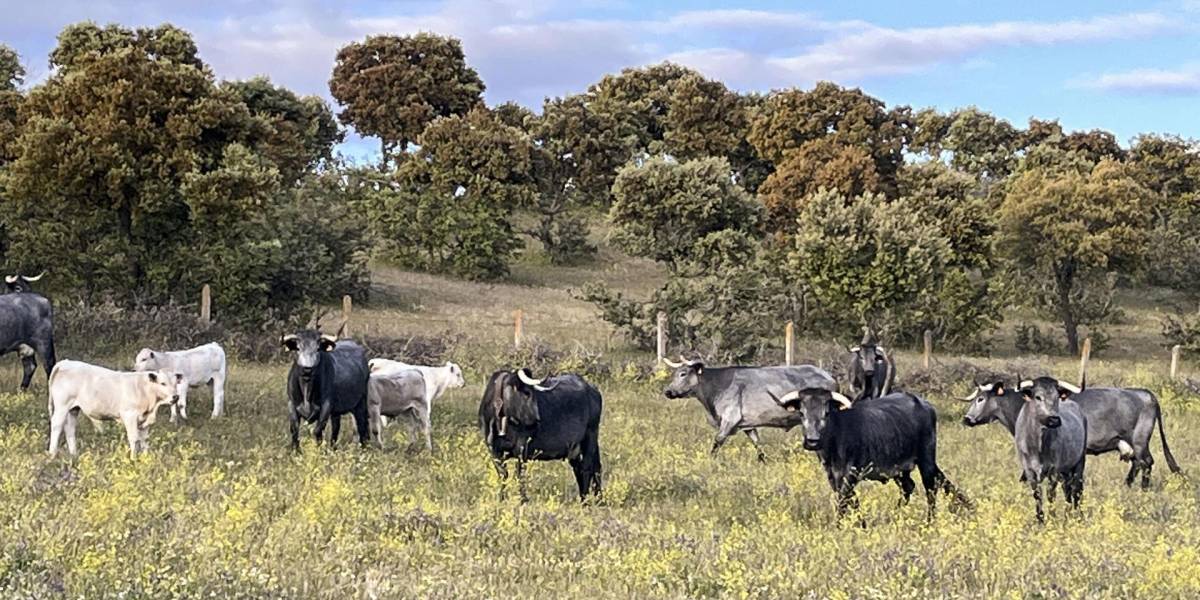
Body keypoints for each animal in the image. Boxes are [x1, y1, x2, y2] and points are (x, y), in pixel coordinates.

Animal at [48, 360, 183, 458]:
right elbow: (134, 439)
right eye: (163, 383)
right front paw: (133, 458)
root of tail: (65, 362)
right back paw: (52, 454)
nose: (175, 397)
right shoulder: (130, 416)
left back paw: (73, 454)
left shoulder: (145, 419)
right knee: (57, 425)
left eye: (176, 383)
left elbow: (144, 439)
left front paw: (146, 458)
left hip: (73, 409)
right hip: (62, 406)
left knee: (70, 429)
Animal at [477, 369, 604, 501]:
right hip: (576, 448)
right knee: (587, 468)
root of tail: (592, 389)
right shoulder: (493, 450)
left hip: (590, 436)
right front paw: (502, 499)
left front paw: (523, 500)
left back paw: (585, 500)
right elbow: (503, 475)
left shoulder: (522, 448)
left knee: (586, 468)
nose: (538, 419)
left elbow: (519, 475)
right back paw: (597, 499)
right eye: (527, 393)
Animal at [662, 352, 840, 460]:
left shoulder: (730, 419)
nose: (668, 392)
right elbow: (758, 445)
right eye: (675, 374)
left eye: (683, 374)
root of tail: (829, 376)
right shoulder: (748, 425)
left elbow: (717, 442)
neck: (717, 386)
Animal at [768, 388, 974, 520]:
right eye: (801, 413)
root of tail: (923, 403)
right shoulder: (833, 476)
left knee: (930, 488)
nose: (812, 441)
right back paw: (896, 515)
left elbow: (844, 501)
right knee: (909, 486)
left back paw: (930, 521)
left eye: (826, 413)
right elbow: (851, 500)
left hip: (926, 460)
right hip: (900, 469)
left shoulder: (850, 474)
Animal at [960, 376, 1176, 489]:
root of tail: (1145, 393)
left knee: (1146, 463)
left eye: (980, 399)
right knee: (1137, 464)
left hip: (1139, 441)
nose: (967, 419)